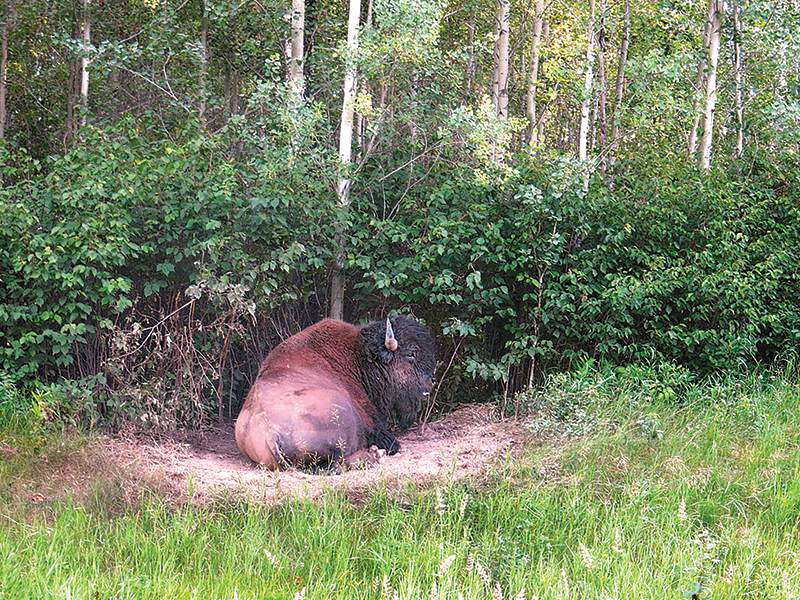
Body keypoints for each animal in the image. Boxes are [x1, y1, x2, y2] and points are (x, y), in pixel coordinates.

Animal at [235, 316, 436, 470]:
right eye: (410, 354)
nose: (432, 380)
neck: (358, 358)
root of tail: (271, 433)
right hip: (343, 423)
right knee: (340, 462)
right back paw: (374, 454)